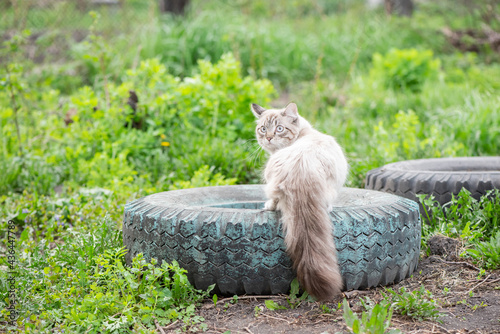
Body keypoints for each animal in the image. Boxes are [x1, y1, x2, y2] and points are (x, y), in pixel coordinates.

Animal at [250, 102, 348, 300]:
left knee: (275, 201)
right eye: (263, 129)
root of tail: (302, 171)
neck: (304, 133)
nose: (269, 138)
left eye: (279, 129)